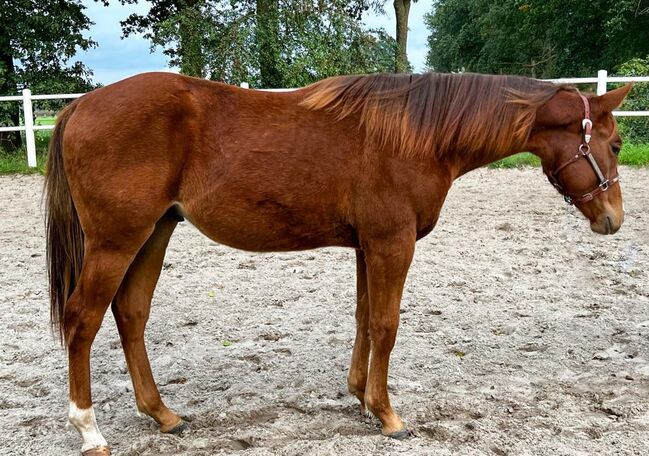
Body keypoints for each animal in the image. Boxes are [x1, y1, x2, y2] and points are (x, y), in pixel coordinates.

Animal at [44, 73, 628, 454]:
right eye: (618, 144)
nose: (614, 219)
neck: (414, 136)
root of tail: (81, 105)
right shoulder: (393, 243)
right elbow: (387, 325)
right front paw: (388, 415)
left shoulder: (369, 246)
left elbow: (365, 320)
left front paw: (362, 398)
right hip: (116, 241)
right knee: (83, 321)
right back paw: (90, 432)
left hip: (154, 233)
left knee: (131, 314)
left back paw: (163, 415)